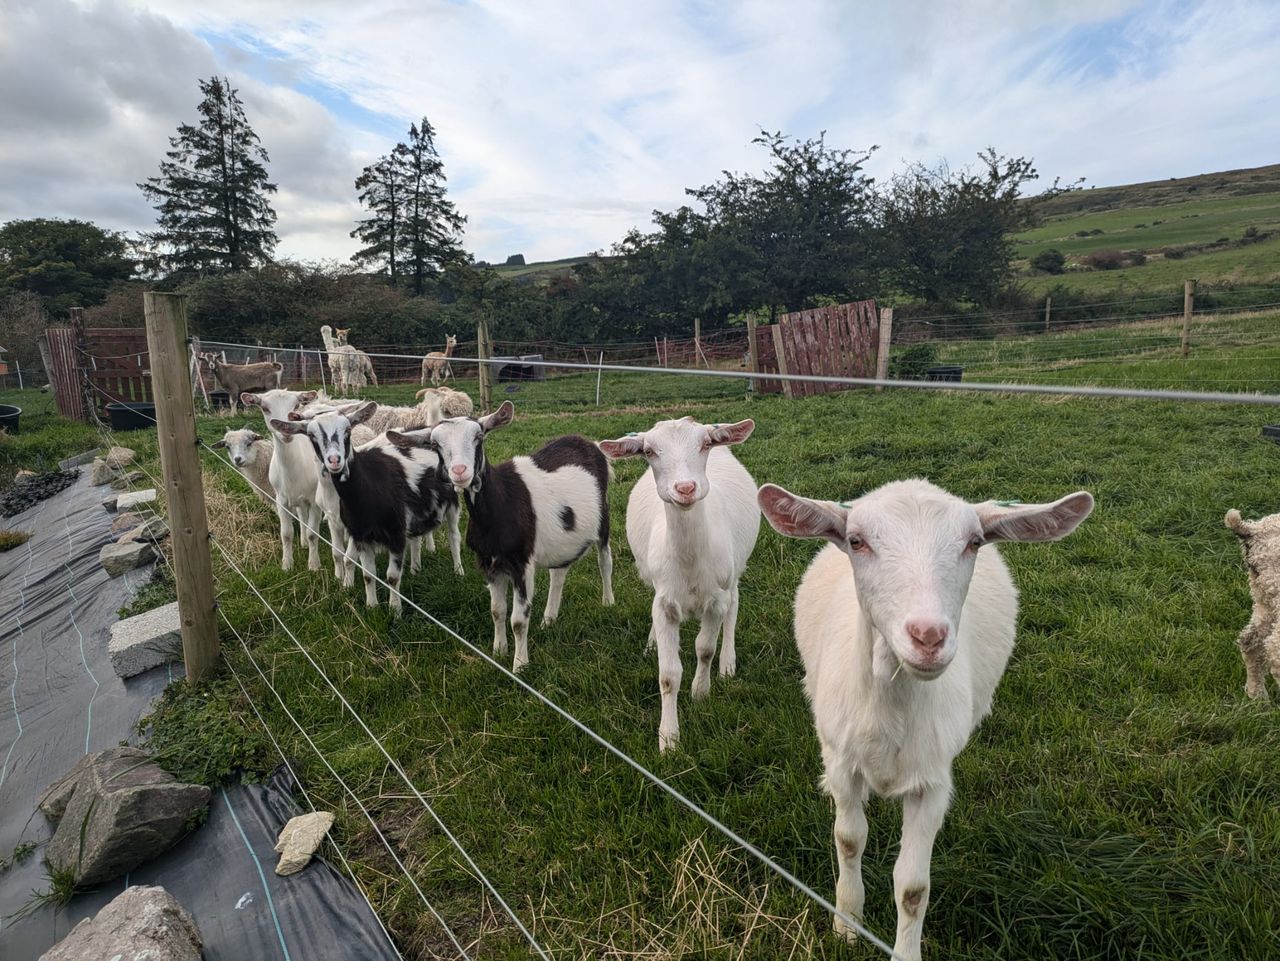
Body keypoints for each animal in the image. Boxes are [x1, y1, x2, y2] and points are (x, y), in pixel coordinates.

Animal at [272, 402, 462, 616]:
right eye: (311, 435)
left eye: (348, 430)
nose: (334, 460)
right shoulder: (358, 533)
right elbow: (366, 572)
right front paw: (371, 605)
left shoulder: (395, 534)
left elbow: (391, 576)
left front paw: (395, 610)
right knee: (415, 539)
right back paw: (415, 568)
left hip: (453, 503)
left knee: (454, 536)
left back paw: (458, 570)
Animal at [388, 400, 613, 671]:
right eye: (435, 444)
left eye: (479, 436)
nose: (460, 471)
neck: (500, 505)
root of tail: (586, 442)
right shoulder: (489, 564)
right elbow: (497, 611)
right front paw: (498, 652)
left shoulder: (522, 565)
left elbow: (518, 620)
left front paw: (520, 666)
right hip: (562, 540)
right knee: (558, 573)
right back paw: (549, 619)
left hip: (604, 519)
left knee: (605, 560)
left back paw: (608, 602)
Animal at [599, 417, 759, 751]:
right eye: (648, 451)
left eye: (705, 444)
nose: (685, 488)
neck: (690, 564)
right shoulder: (665, 602)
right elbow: (668, 675)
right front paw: (669, 739)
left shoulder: (716, 599)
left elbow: (705, 648)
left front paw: (700, 692)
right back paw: (651, 643)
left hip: (735, 569)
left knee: (734, 606)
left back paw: (728, 663)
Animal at [758, 479, 1093, 961]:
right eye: (856, 541)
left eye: (973, 542)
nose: (928, 637)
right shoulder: (841, 763)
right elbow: (849, 840)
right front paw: (847, 923)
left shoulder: (932, 782)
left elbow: (913, 887)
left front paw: (904, 949)